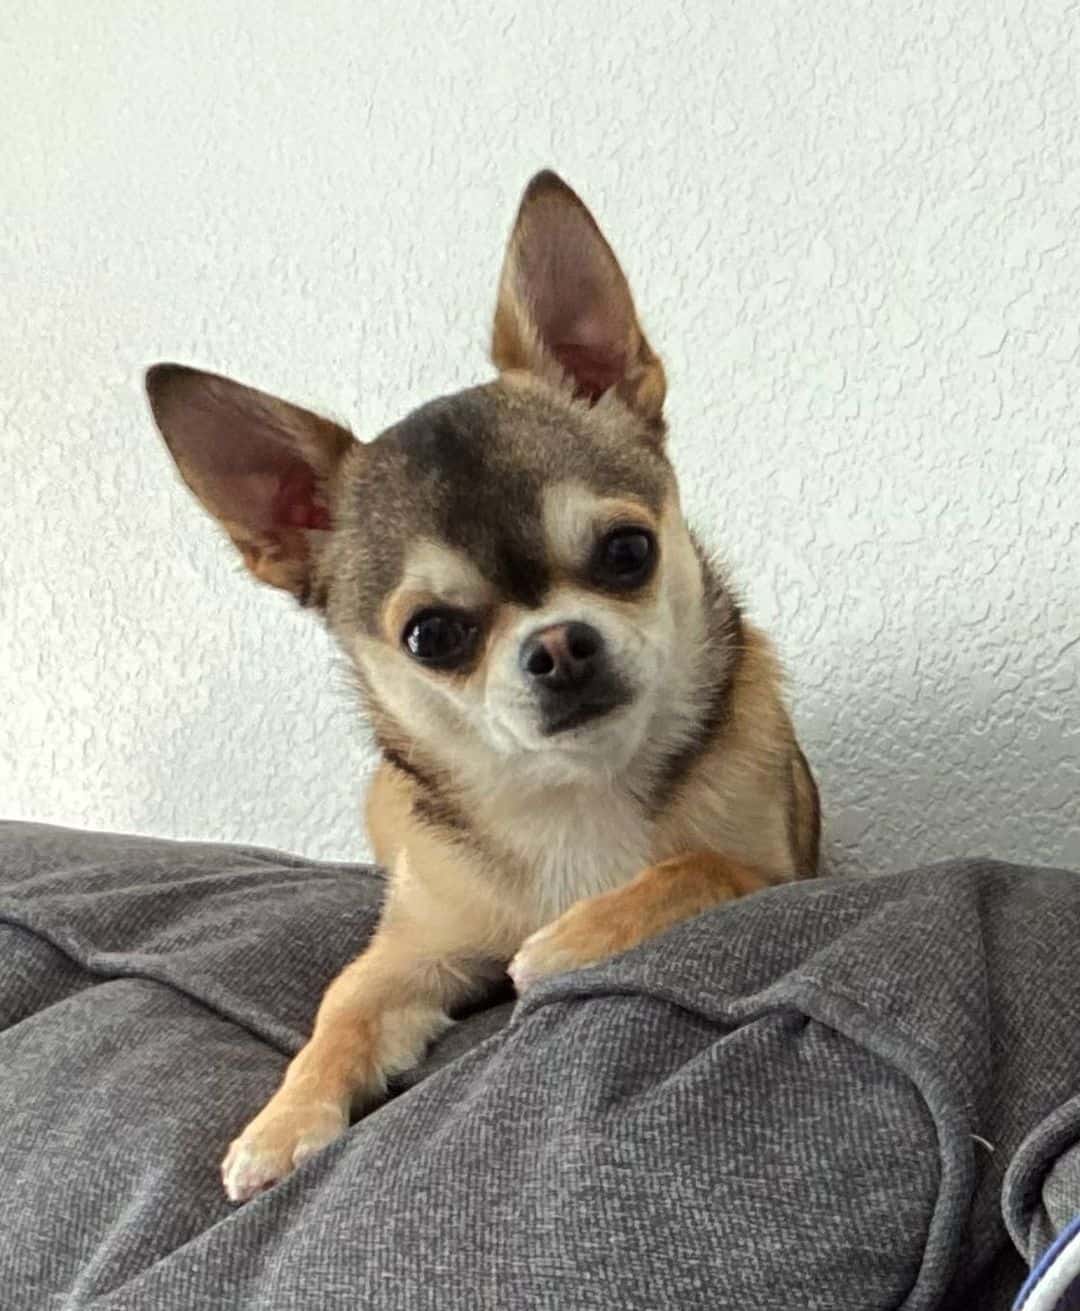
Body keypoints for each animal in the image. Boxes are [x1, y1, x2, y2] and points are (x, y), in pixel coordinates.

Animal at [143, 169, 817, 1200]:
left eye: (629, 551)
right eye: (432, 635)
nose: (561, 646)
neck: (571, 791)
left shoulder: (777, 870)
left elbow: (692, 866)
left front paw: (575, 937)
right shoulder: (411, 952)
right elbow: (340, 1007)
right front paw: (284, 1119)